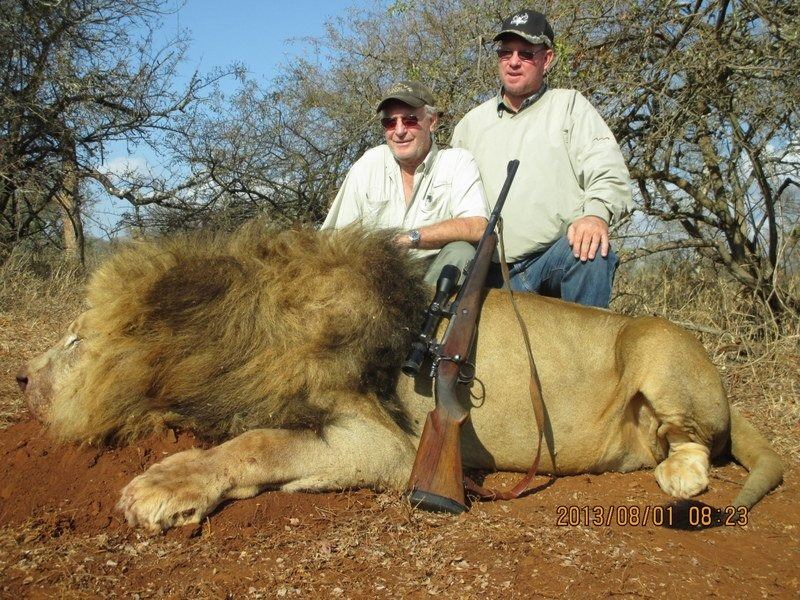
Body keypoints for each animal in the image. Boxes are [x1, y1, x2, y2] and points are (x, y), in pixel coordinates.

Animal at [16, 224, 783, 532]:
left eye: (77, 339)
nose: (20, 378)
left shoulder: (382, 441)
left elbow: (258, 444)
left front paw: (160, 487)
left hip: (656, 342)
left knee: (693, 443)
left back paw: (679, 478)